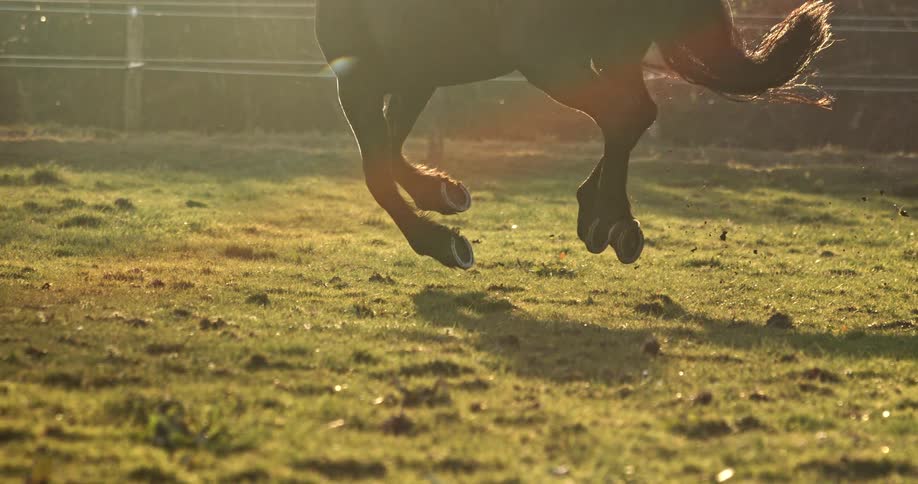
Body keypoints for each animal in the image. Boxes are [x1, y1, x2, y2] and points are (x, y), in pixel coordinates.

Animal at [316, 0, 833, 269]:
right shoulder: (414, 75)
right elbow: (390, 153)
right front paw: (442, 193)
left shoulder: (359, 79)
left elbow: (376, 171)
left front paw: (441, 242)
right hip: (606, 54)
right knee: (633, 115)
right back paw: (608, 222)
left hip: (552, 62)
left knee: (624, 114)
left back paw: (606, 220)